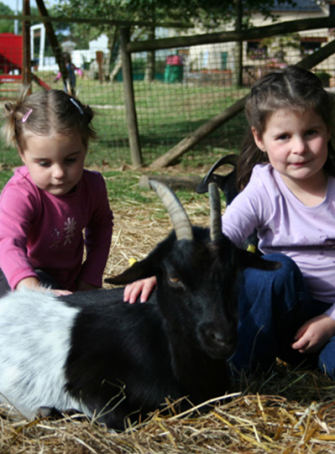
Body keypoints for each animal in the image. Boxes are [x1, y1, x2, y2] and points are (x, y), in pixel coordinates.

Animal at [0, 180, 280, 430]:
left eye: (234, 272)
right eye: (173, 276)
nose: (222, 338)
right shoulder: (86, 384)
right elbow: (119, 419)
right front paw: (54, 411)